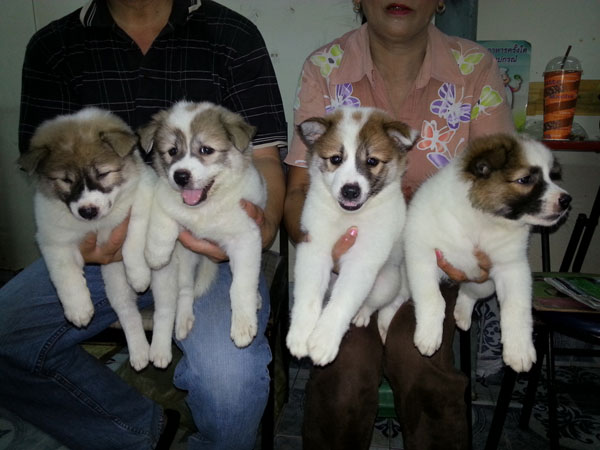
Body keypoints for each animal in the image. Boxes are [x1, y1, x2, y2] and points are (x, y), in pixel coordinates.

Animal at [18, 107, 156, 371]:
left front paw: (139, 275)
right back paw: (140, 352)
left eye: (103, 173)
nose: (88, 211)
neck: (98, 225)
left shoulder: (141, 205)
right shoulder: (53, 239)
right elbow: (65, 274)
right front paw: (78, 308)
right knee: (127, 310)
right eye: (66, 180)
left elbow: (133, 242)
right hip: (114, 282)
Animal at [139, 101, 266, 367]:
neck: (204, 209)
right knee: (174, 300)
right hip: (174, 270)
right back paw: (168, 338)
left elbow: (241, 285)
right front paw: (155, 252)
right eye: (172, 151)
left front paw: (242, 324)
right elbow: (162, 216)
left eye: (206, 150)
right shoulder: (164, 196)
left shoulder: (246, 239)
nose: (180, 176)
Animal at [286, 106, 418, 366]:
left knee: (380, 302)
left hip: (387, 282)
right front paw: (301, 334)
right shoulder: (314, 248)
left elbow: (344, 300)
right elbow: (308, 296)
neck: (347, 217)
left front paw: (324, 341)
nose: (350, 191)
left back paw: (363, 315)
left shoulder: (362, 261)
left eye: (372, 161)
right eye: (336, 159)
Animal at [404, 133, 571, 372]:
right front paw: (428, 334)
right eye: (525, 179)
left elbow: (516, 308)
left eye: (551, 175)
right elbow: (432, 298)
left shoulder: (513, 269)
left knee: (469, 292)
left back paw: (462, 314)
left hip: (484, 284)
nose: (567, 200)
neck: (484, 221)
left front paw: (519, 349)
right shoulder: (423, 256)